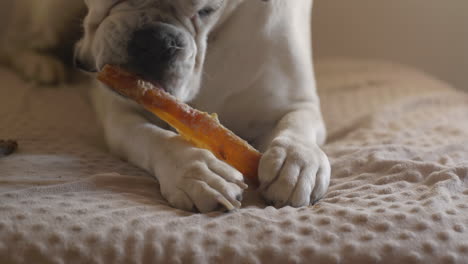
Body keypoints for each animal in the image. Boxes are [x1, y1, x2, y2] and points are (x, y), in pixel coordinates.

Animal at [7, 0, 330, 211]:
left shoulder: (298, 102)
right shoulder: (120, 113)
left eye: (207, 10)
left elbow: (296, 126)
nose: (156, 39)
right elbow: (155, 138)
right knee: (19, 41)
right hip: (50, 13)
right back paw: (39, 64)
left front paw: (296, 164)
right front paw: (197, 171)